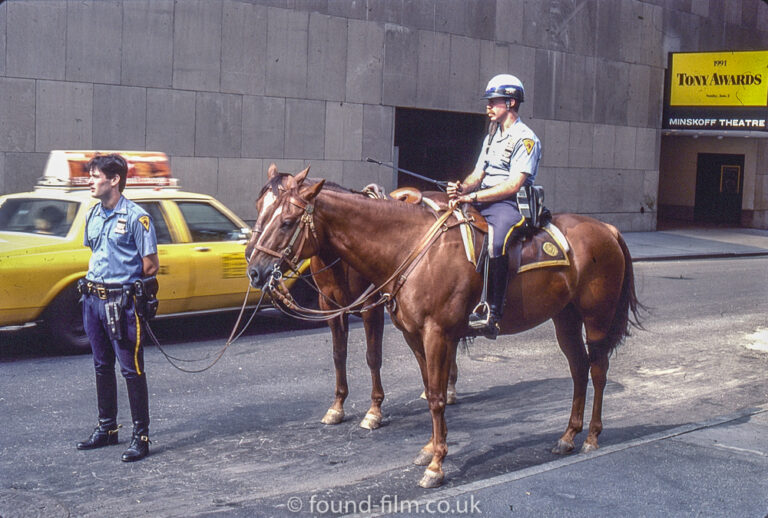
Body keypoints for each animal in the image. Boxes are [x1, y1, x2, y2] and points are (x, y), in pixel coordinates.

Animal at [255, 168, 452, 430]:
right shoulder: (330, 306)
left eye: (285, 221)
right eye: (260, 207)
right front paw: (337, 406)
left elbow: (373, 356)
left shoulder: (371, 308)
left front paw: (374, 410)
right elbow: (339, 354)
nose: (252, 263)